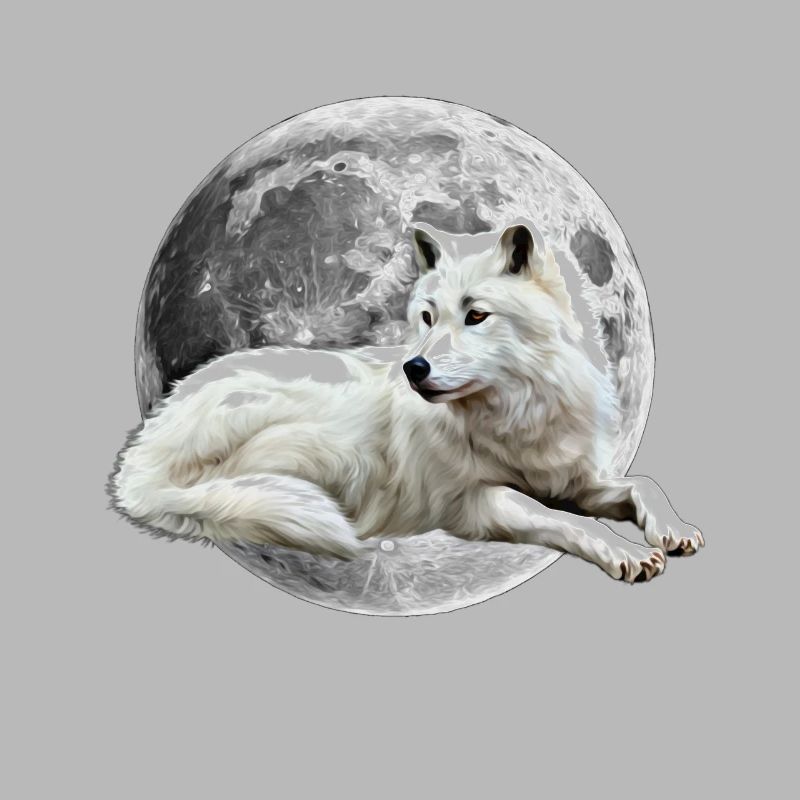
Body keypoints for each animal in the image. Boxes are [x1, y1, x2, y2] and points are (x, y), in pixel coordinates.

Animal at [111, 221, 704, 583]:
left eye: (476, 315)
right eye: (427, 316)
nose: (413, 368)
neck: (517, 408)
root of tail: (139, 460)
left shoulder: (573, 478)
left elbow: (640, 483)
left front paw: (672, 529)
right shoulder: (474, 503)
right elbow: (561, 520)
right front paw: (626, 551)